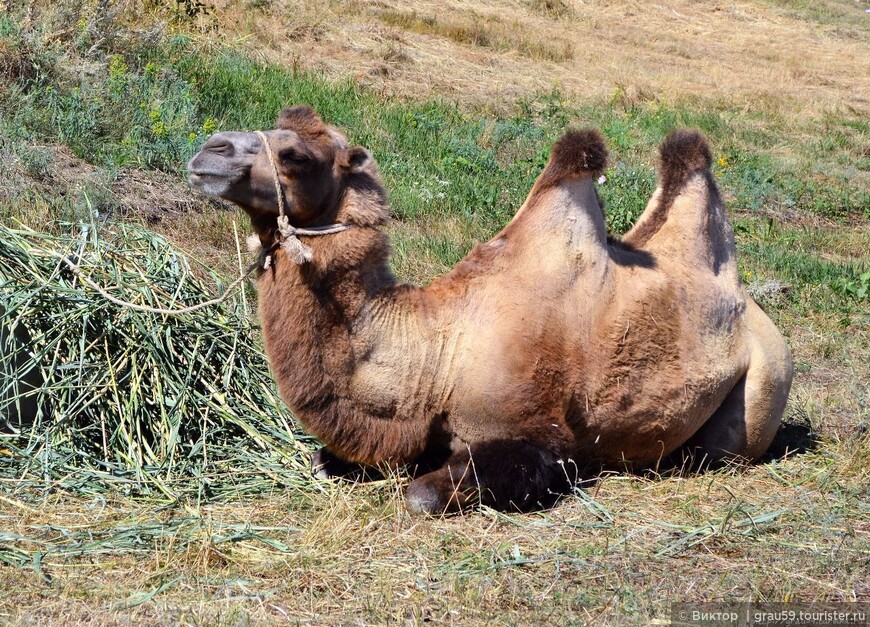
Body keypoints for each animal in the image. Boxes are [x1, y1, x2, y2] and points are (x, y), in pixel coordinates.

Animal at [187, 106, 792, 516]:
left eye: (296, 156)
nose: (208, 151)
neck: (437, 352)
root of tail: (757, 313)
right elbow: (330, 460)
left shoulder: (546, 437)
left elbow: (423, 495)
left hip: (764, 385)